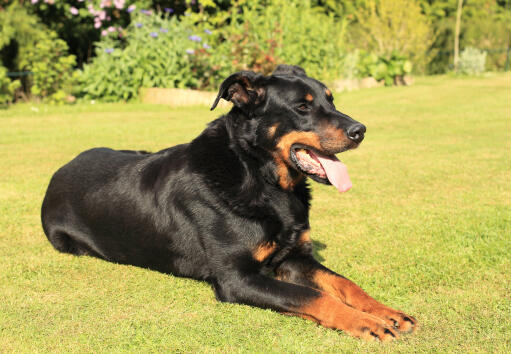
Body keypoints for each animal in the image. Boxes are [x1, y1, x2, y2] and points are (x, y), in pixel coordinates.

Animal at [42, 65, 418, 342]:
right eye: (302, 107)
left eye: (331, 100)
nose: (360, 130)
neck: (260, 175)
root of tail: (60, 169)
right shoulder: (237, 278)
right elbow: (316, 296)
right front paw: (365, 323)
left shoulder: (294, 257)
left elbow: (345, 284)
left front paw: (387, 312)